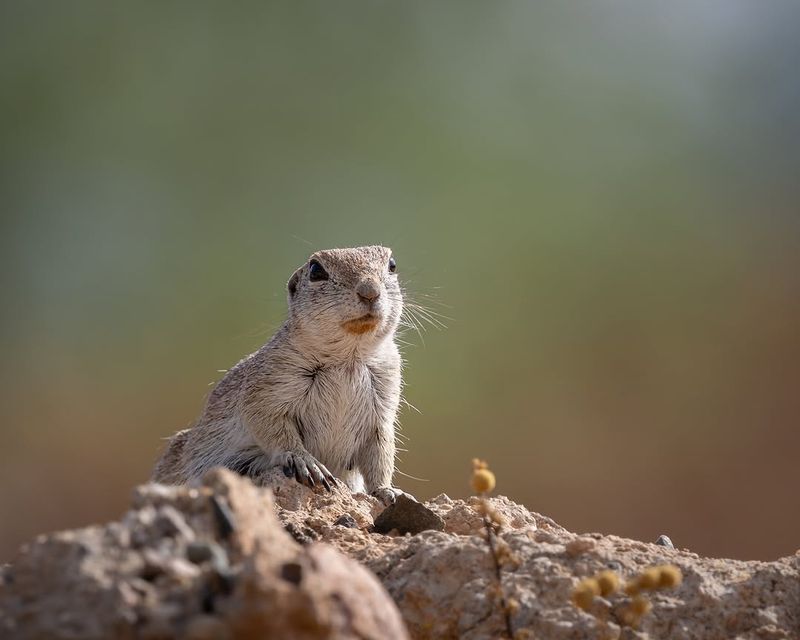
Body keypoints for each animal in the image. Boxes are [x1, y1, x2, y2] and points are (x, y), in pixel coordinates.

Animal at [152, 245, 405, 505]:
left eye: (392, 265)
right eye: (316, 270)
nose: (369, 291)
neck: (348, 359)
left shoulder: (383, 406)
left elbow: (381, 453)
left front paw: (387, 490)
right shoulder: (267, 386)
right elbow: (272, 426)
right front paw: (305, 460)